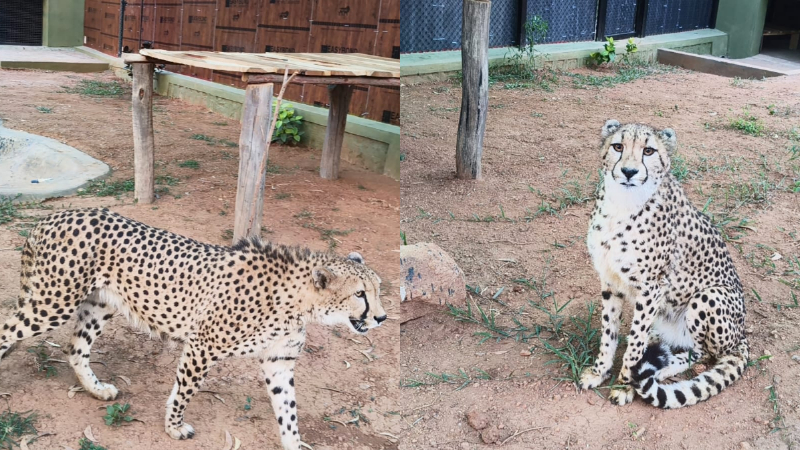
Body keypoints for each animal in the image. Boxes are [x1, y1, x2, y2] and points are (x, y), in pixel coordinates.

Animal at [0, 208, 386, 450]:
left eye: (379, 289)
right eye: (360, 294)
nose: (381, 318)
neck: (299, 301)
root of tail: (54, 216)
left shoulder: (278, 362)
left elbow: (288, 412)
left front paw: (293, 443)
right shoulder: (203, 345)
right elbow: (185, 390)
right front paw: (173, 427)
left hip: (100, 303)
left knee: (75, 348)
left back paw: (97, 390)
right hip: (53, 302)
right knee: (8, 329)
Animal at [579, 120, 749, 409]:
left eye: (648, 151)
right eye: (618, 146)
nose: (629, 171)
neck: (622, 204)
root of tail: (743, 334)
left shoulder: (652, 288)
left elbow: (635, 346)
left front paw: (625, 385)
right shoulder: (610, 280)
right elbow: (609, 332)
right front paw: (599, 371)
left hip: (709, 295)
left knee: (702, 353)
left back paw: (663, 367)